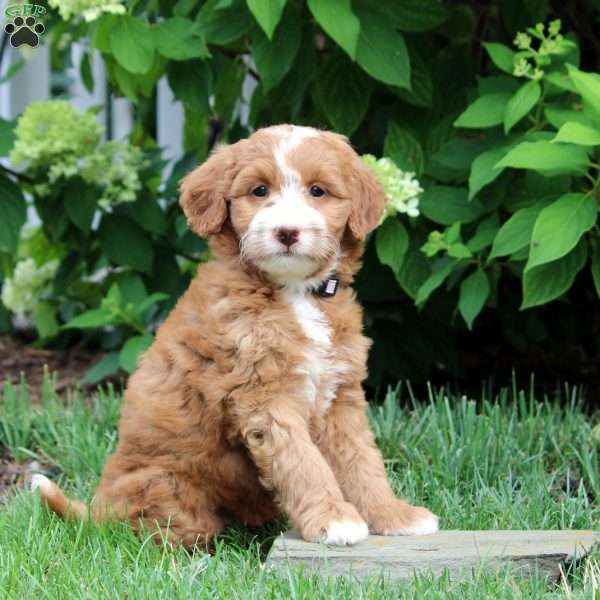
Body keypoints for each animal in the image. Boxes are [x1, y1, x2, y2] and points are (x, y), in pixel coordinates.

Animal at [35, 125, 438, 548]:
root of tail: (98, 510)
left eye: (318, 191)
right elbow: (303, 462)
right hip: (165, 488)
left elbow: (362, 460)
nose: (287, 232)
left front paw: (393, 515)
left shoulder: (339, 395)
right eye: (259, 191)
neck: (293, 293)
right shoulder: (265, 397)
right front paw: (334, 519)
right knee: (152, 531)